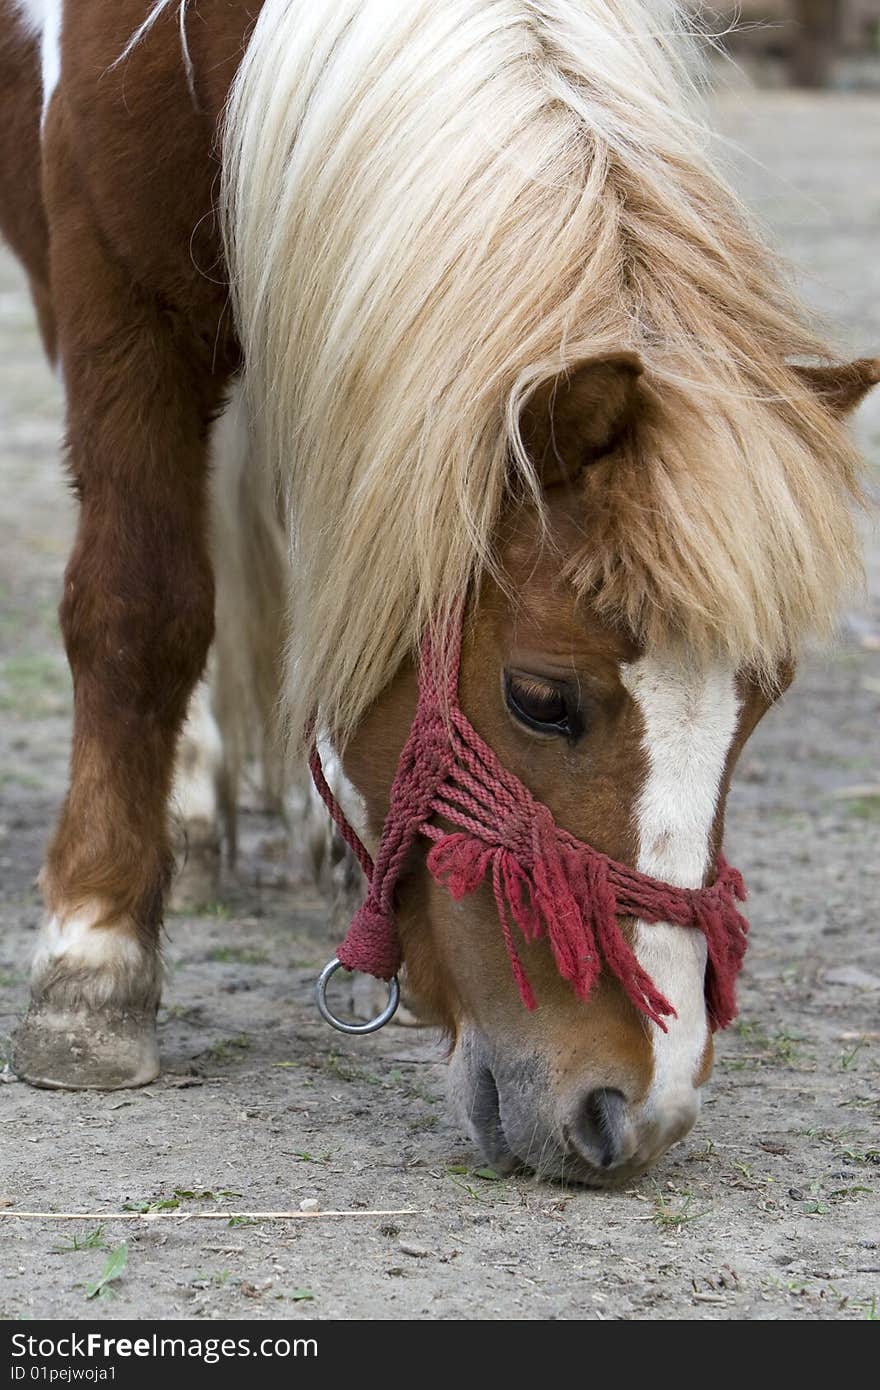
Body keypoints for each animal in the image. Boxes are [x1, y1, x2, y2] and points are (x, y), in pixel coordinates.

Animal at [3, 0, 873, 1184]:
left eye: (762, 703)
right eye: (540, 697)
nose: (633, 1113)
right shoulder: (110, 282)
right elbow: (143, 603)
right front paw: (91, 964)